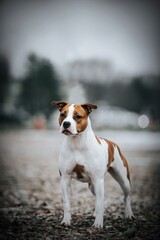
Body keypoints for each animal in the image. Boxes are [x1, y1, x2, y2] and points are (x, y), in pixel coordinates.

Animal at [52, 100, 134, 228]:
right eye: (63, 115)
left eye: (77, 116)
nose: (66, 124)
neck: (77, 143)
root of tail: (113, 143)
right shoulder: (65, 179)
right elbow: (66, 203)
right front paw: (66, 221)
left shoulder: (98, 180)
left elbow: (100, 204)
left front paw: (98, 224)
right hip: (92, 186)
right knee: (98, 198)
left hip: (123, 179)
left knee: (126, 197)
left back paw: (129, 214)